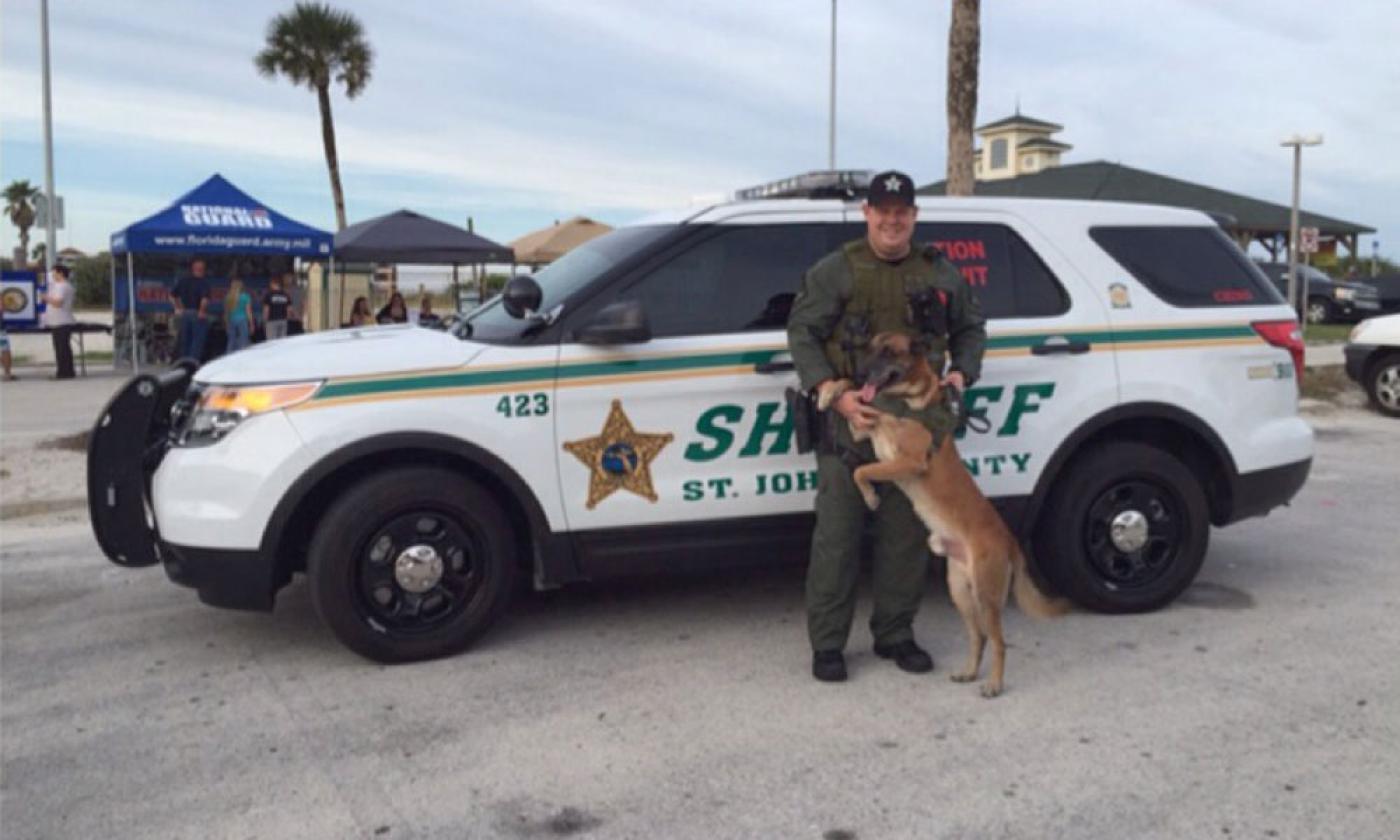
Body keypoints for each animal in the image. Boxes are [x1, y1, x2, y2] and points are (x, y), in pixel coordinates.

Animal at [817, 333, 1064, 694]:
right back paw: (969, 672)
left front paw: (871, 498)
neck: (904, 399)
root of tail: (1010, 540)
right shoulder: (865, 428)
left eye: (889, 352)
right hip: (960, 590)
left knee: (999, 641)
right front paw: (828, 393)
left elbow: (861, 471)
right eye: (870, 348)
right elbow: (850, 398)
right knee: (979, 637)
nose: (862, 371)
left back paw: (994, 684)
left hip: (987, 595)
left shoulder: (907, 462)